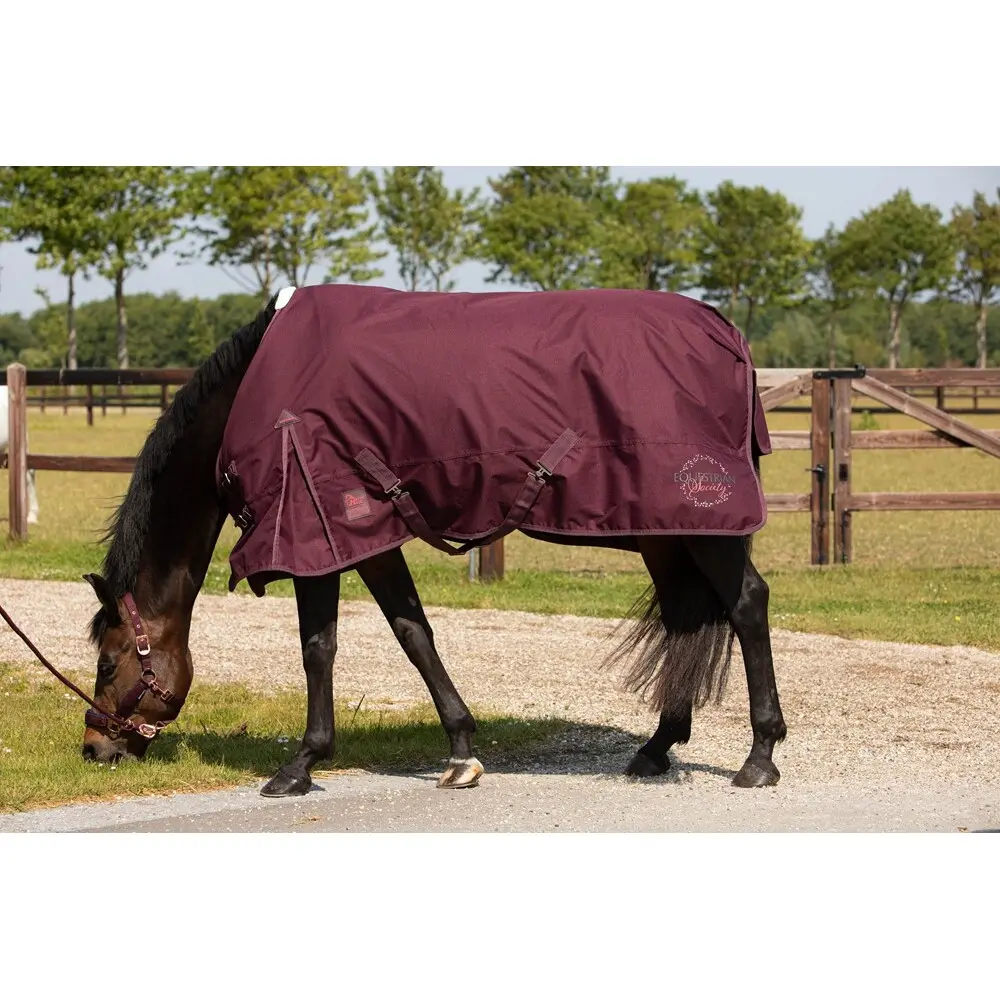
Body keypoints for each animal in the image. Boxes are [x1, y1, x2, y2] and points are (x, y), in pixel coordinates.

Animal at [80, 285, 786, 798]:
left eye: (109, 664)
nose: (94, 749)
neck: (259, 390)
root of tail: (727, 333)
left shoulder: (315, 535)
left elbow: (318, 648)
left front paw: (301, 764)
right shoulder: (367, 536)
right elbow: (413, 632)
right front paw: (462, 751)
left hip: (705, 525)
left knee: (748, 604)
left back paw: (759, 756)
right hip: (664, 534)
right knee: (684, 616)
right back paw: (656, 747)